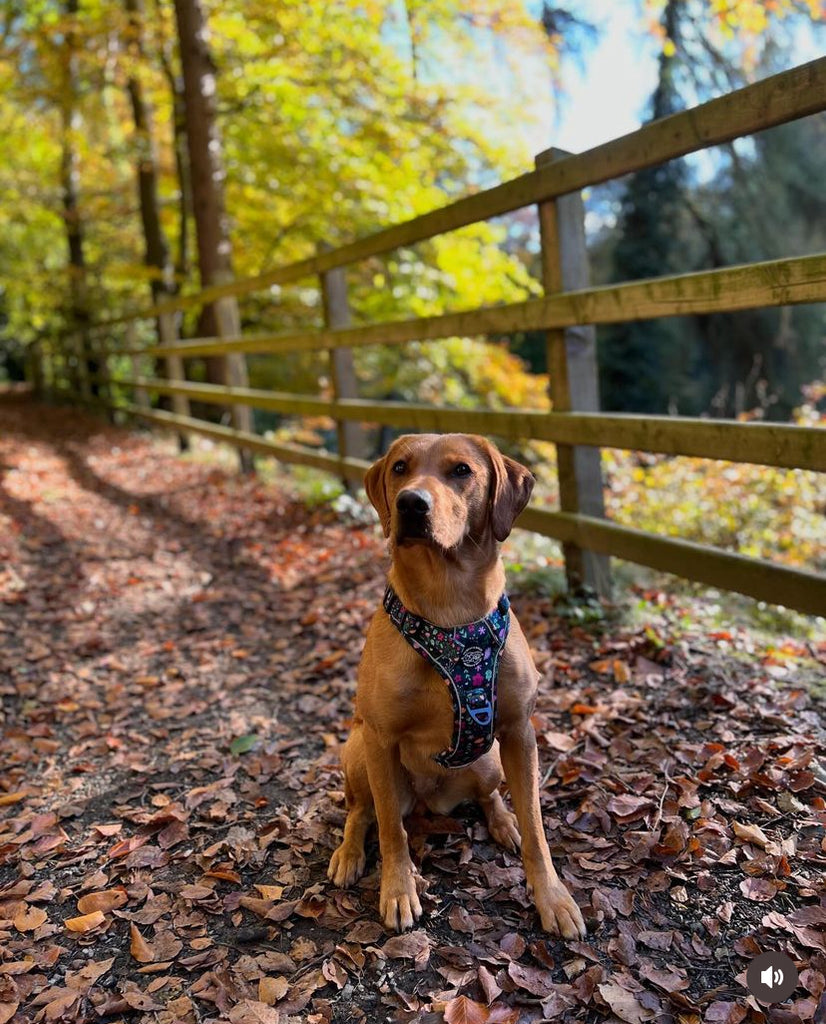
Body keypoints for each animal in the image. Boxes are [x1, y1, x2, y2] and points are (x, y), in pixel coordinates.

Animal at [325, 432, 585, 937]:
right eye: (400, 468)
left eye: (461, 470)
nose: (410, 503)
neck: (451, 609)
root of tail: (434, 801)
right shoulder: (380, 739)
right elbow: (390, 829)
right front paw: (398, 889)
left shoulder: (519, 733)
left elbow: (537, 827)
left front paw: (553, 898)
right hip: (359, 751)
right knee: (364, 811)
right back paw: (350, 854)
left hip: (489, 761)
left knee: (488, 796)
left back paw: (503, 823)